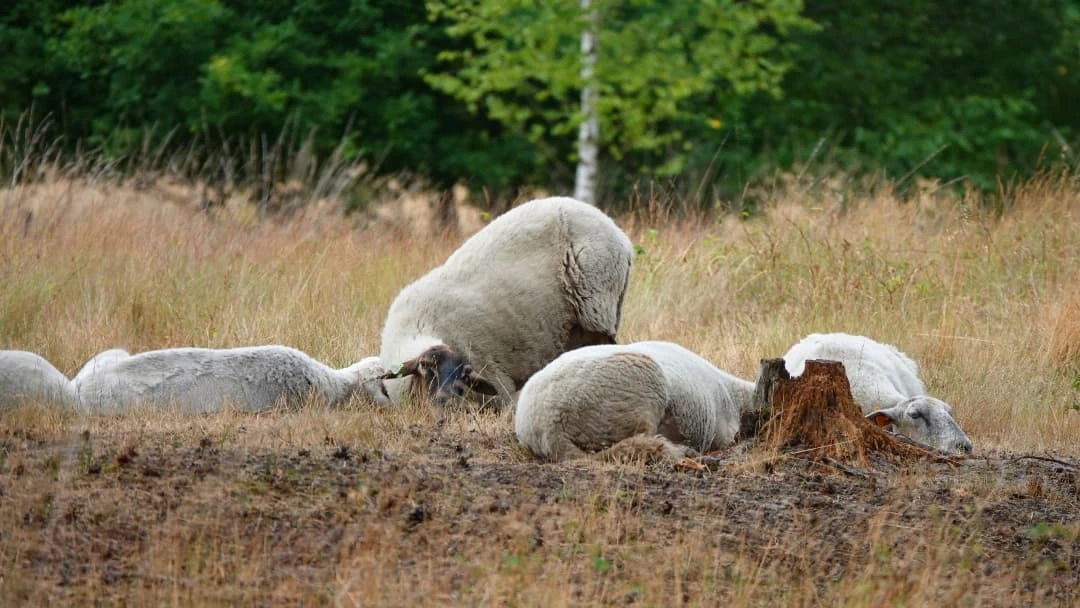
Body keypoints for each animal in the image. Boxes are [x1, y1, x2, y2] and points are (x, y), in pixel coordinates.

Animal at [380, 196, 633, 410]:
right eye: (425, 366)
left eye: (465, 374)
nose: (446, 400)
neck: (419, 329)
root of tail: (621, 237)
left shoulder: (493, 377)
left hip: (597, 312)